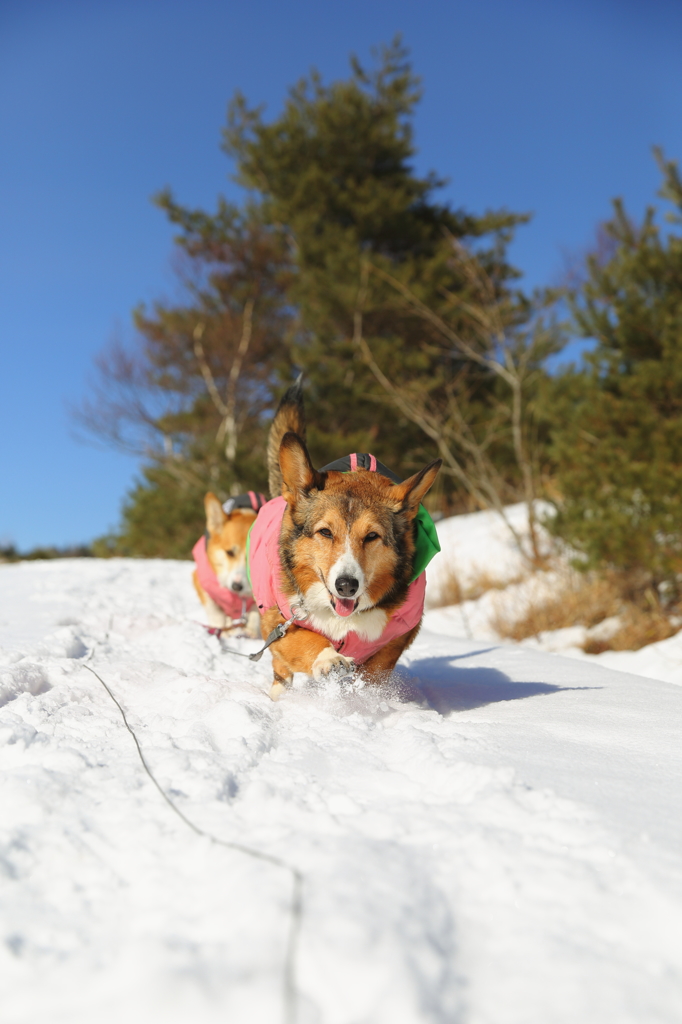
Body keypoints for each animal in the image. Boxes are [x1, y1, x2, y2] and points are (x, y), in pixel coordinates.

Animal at [193, 489, 266, 638]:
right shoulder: (201, 582)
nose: (236, 586)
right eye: (230, 553)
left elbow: (255, 612)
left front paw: (250, 631)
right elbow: (215, 613)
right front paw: (219, 631)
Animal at [245, 380, 440, 700]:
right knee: (280, 670)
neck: (343, 617)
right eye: (325, 532)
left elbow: (376, 673)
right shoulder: (280, 622)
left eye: (372, 536)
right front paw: (329, 659)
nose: (346, 585)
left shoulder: (397, 637)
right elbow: (305, 642)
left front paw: (368, 700)